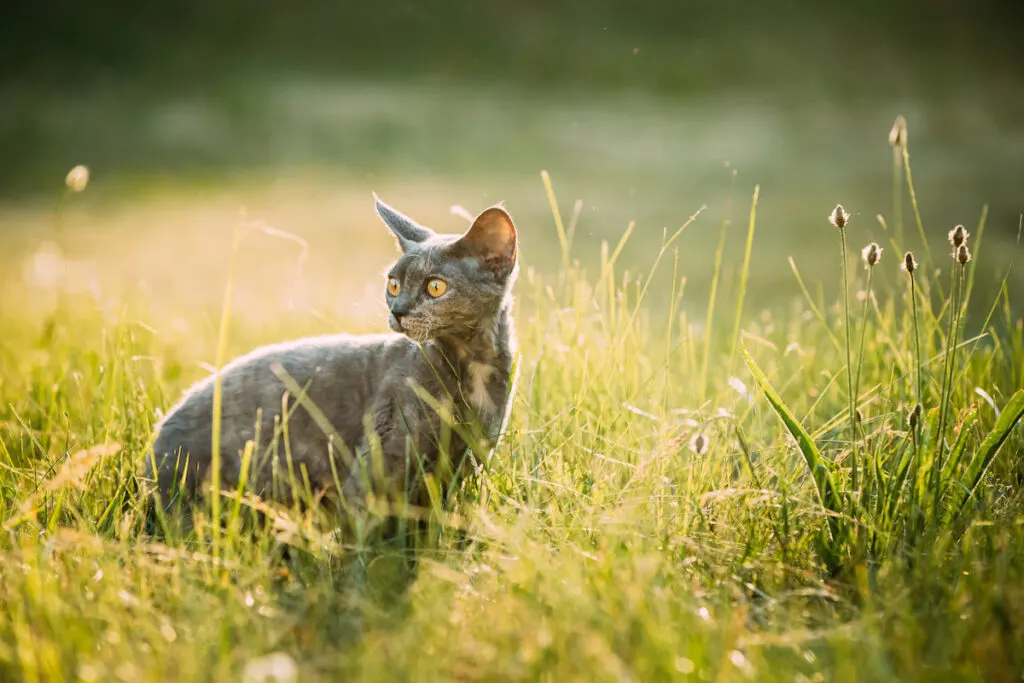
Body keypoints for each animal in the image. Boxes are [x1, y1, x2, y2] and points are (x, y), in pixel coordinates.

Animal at [144, 194, 520, 509]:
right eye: (393, 283)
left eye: (435, 287)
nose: (397, 310)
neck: (473, 365)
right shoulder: (381, 452)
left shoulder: (465, 461)